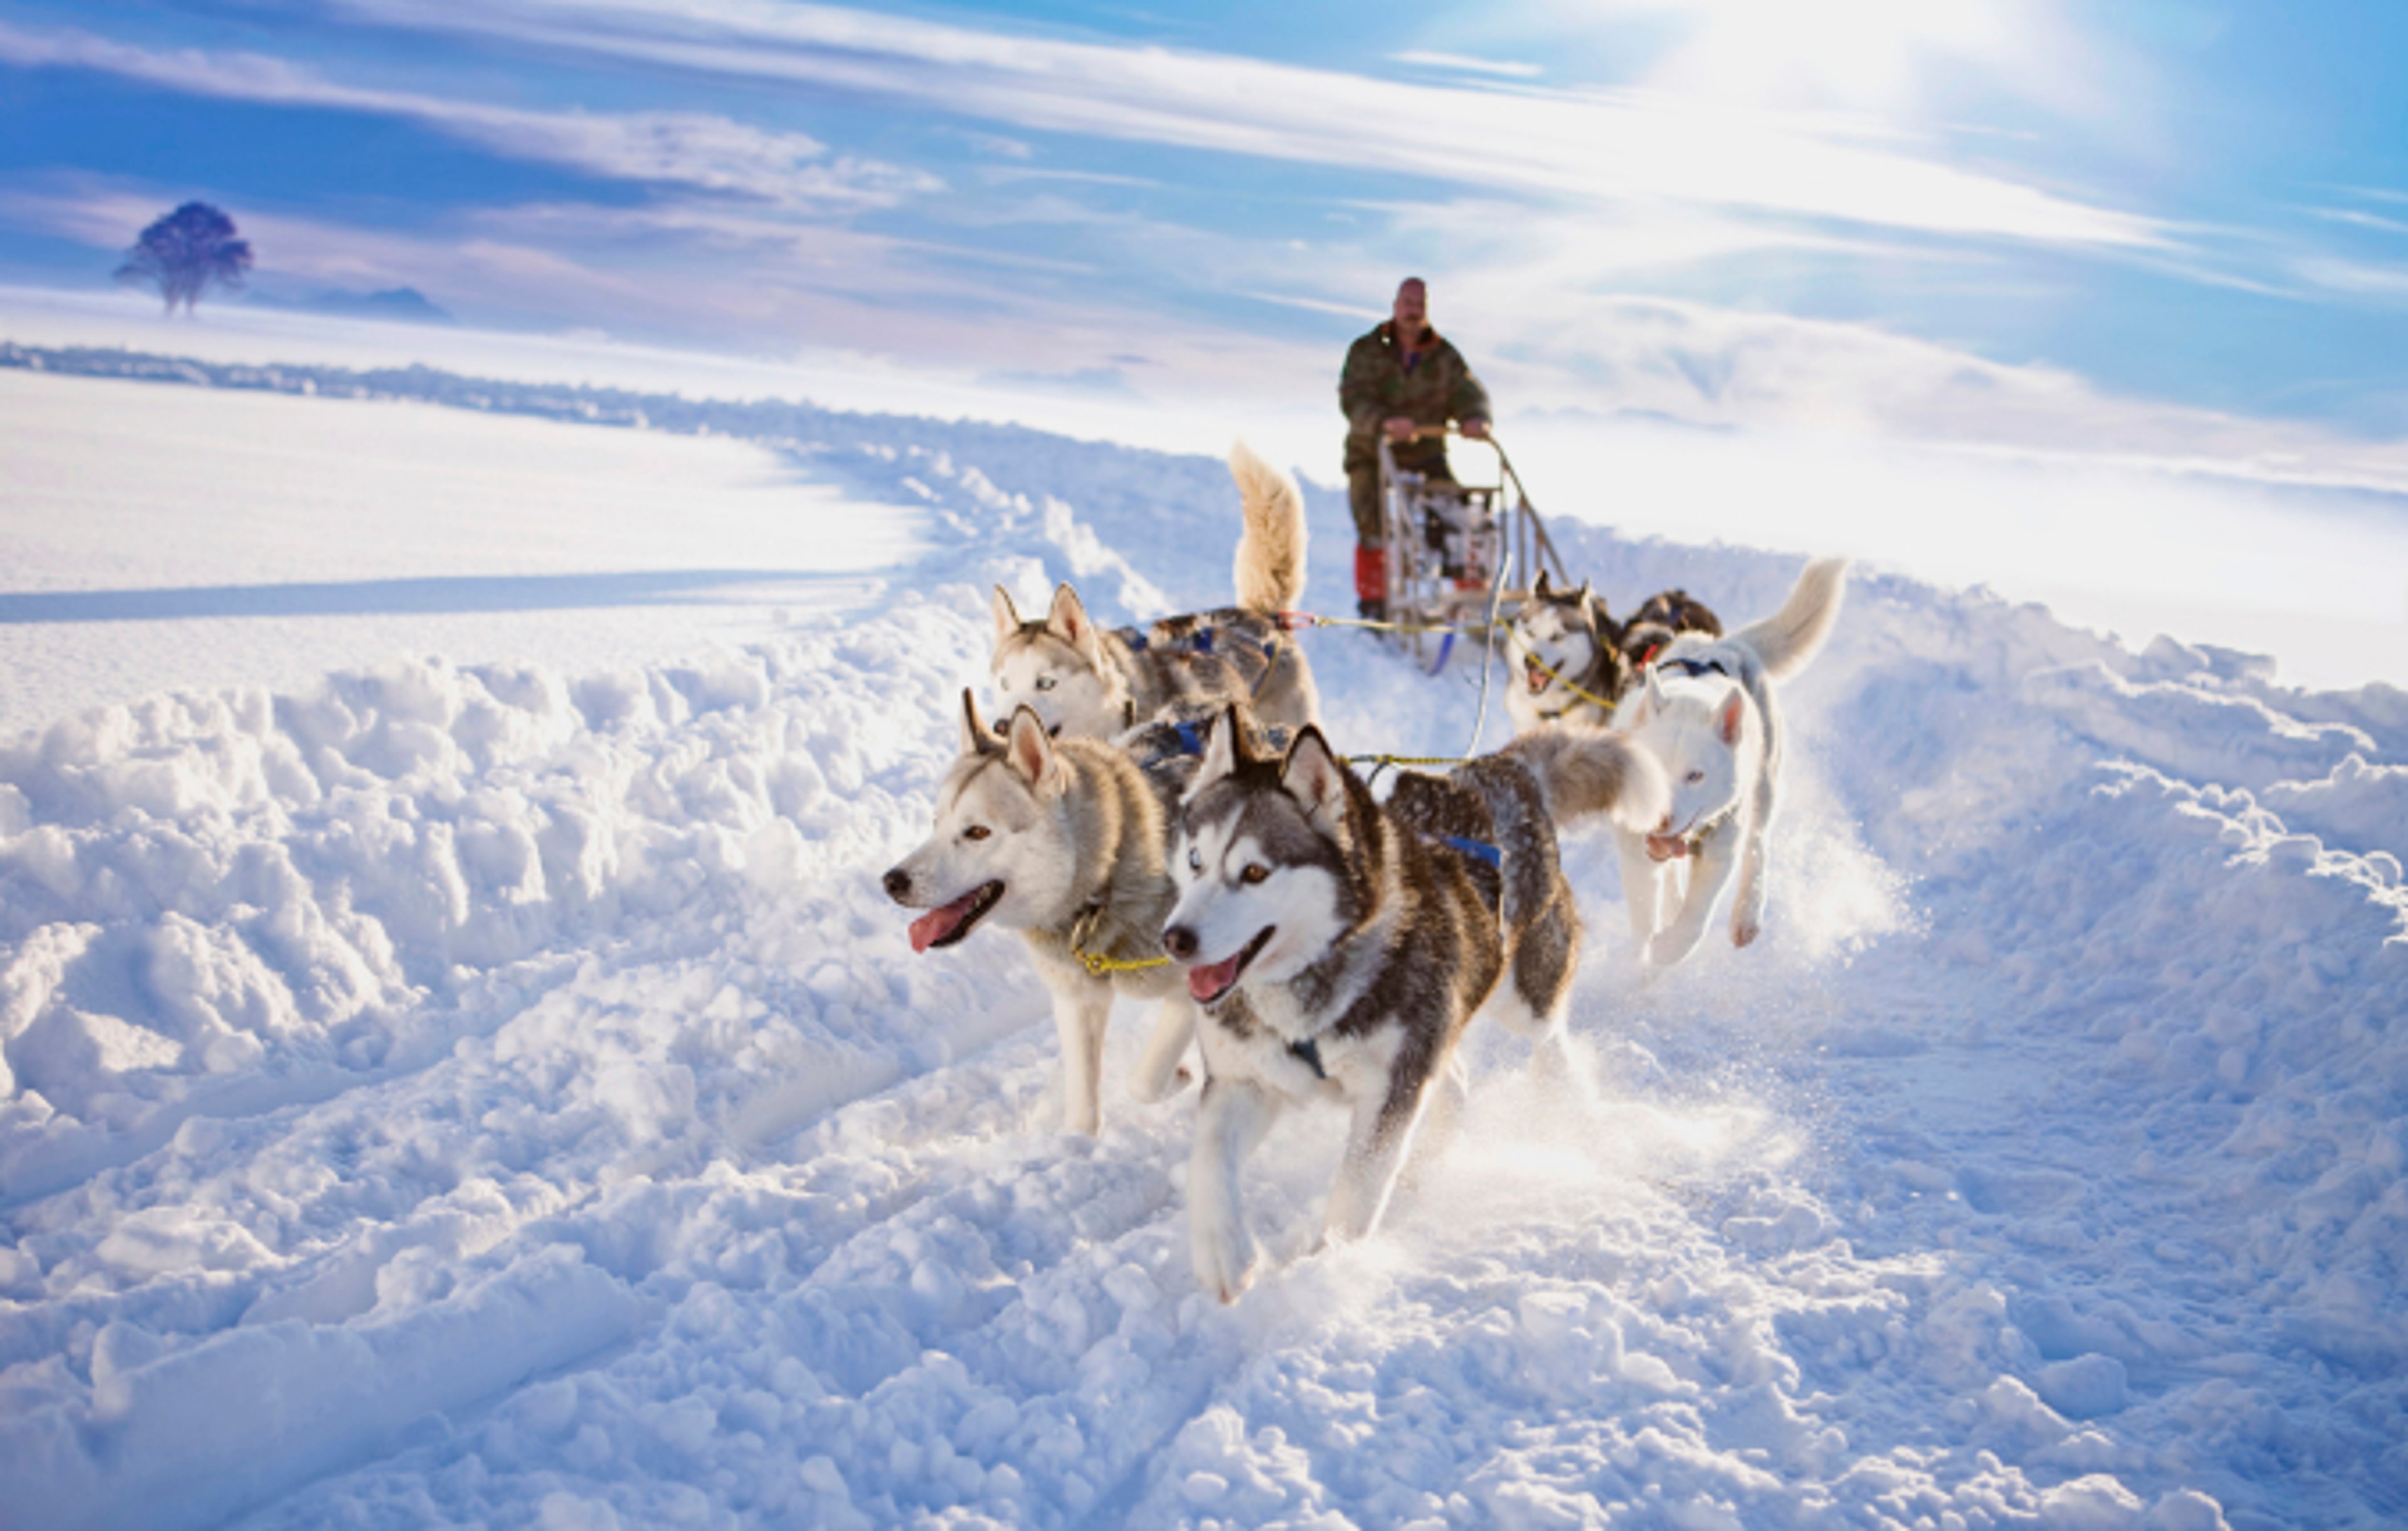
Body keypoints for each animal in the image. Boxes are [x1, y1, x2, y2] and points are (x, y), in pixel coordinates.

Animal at [1165, 712, 1676, 1300]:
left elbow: (1355, 1199)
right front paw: (1223, 1253)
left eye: (1254, 873)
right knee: (1453, 1078)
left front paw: (1325, 1273)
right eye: (1195, 861)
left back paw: (1564, 1101)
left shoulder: (1392, 1089)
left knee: (1548, 1037)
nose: (1174, 939)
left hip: (1520, 991)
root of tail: (1498, 772)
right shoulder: (1246, 1080)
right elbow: (1208, 1159)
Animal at [1618, 563, 1839, 962]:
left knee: (1757, 843)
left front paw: (1665, 950)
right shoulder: (1633, 841)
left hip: (1764, 780)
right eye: (1652, 767)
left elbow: (1692, 926)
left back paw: (1745, 914)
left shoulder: (1719, 849)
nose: (1658, 819)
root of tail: (1728, 643)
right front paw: (1644, 953)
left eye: (1696, 775)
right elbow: (1644, 909)